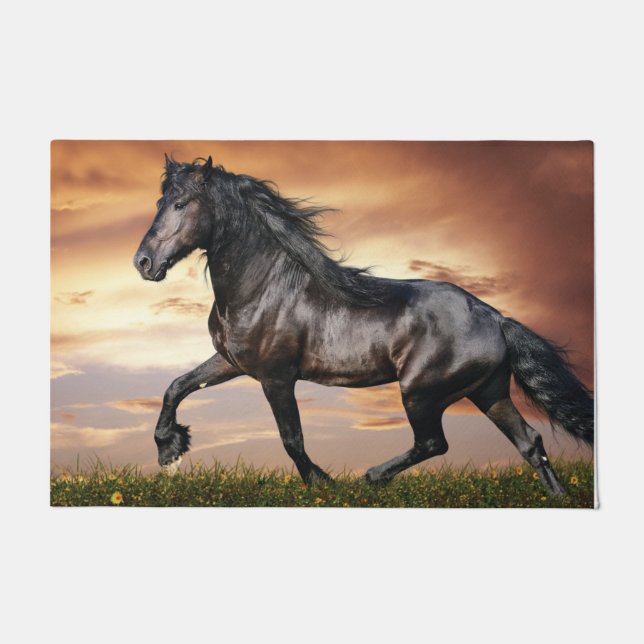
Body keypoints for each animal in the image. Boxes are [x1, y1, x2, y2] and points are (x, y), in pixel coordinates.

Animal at [133, 154, 594, 496]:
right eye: (159, 203)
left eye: (181, 204)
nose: (143, 263)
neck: (264, 286)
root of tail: (496, 318)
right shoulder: (232, 362)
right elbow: (176, 386)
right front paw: (170, 450)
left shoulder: (276, 377)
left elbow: (291, 439)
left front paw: (322, 484)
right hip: (488, 392)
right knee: (530, 443)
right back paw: (557, 498)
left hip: (422, 393)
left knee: (434, 443)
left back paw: (369, 478)